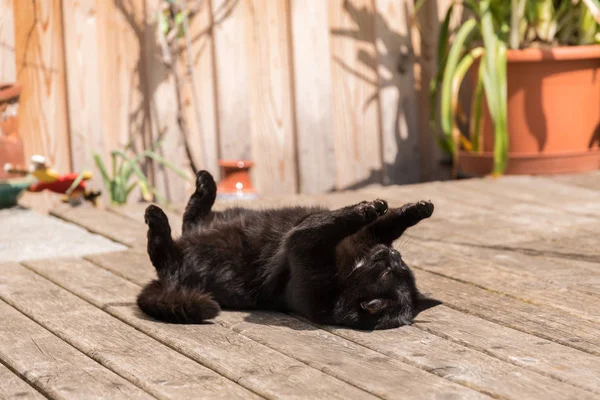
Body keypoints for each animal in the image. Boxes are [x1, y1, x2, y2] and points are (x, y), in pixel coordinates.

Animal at [138, 170, 438, 330]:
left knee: (163, 253)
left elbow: (321, 226)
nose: (393, 255)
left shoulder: (303, 246)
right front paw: (417, 208)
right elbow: (387, 224)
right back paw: (205, 184)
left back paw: (156, 217)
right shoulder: (366, 236)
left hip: (194, 259)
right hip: (229, 216)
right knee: (192, 219)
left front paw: (363, 209)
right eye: (400, 268)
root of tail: (164, 281)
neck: (353, 268)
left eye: (390, 273)